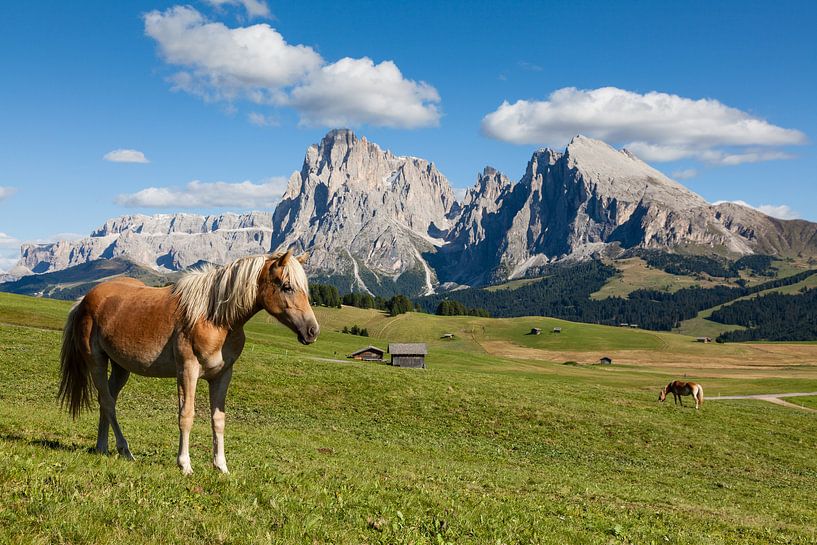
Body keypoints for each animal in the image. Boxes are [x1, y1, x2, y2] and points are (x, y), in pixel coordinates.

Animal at [56, 251, 318, 472]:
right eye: (287, 287)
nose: (312, 331)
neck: (213, 319)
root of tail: (85, 299)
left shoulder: (222, 375)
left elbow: (218, 419)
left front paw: (221, 467)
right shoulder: (187, 371)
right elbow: (187, 416)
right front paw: (185, 465)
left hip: (121, 367)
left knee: (107, 400)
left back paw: (103, 447)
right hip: (97, 362)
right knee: (109, 403)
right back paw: (125, 450)